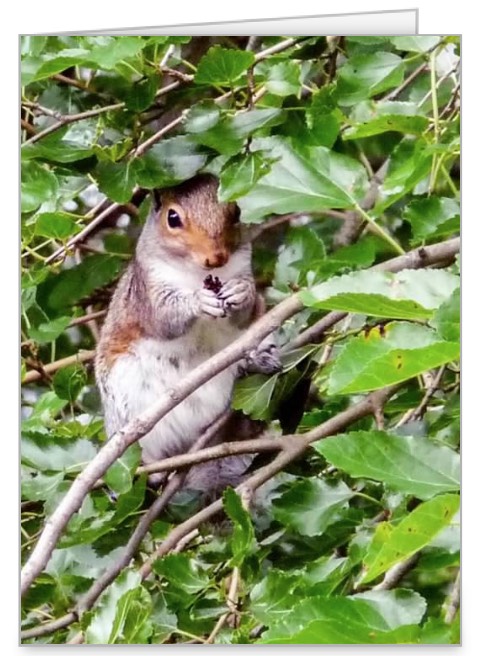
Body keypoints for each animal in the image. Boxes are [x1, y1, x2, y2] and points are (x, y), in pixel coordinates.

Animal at [95, 174, 281, 494]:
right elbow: (165, 319)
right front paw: (197, 301)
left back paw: (258, 363)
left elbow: (246, 309)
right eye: (173, 218)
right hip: (125, 406)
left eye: (237, 211)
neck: (197, 274)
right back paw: (152, 472)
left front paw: (241, 292)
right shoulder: (148, 293)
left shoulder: (244, 270)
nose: (216, 258)